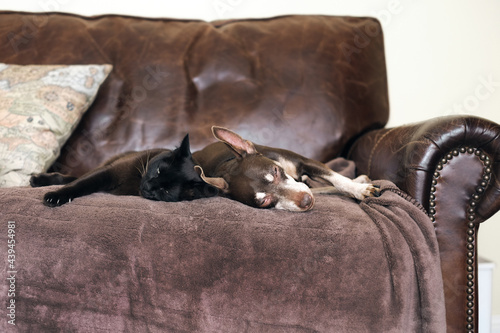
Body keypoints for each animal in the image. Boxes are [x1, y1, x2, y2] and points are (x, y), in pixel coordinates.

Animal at [29, 134, 217, 206]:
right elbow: (80, 184)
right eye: (158, 172)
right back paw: (38, 180)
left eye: (165, 190)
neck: (135, 181)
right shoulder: (108, 172)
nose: (148, 187)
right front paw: (55, 196)